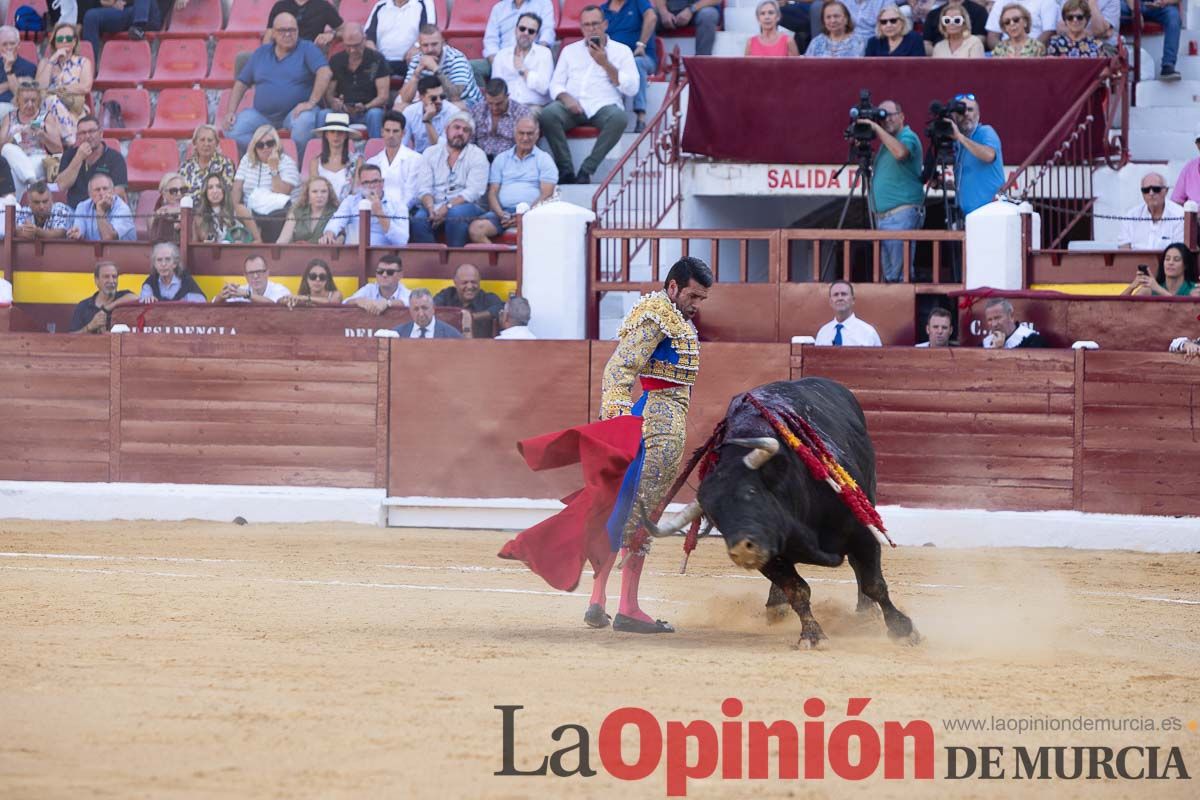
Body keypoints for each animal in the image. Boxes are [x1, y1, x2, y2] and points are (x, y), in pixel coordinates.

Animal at [652, 379, 912, 647]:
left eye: (751, 492)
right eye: (715, 516)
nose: (741, 551)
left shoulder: (862, 533)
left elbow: (874, 584)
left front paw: (903, 629)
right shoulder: (769, 556)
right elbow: (797, 590)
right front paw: (812, 635)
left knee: (859, 570)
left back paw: (865, 613)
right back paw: (776, 606)